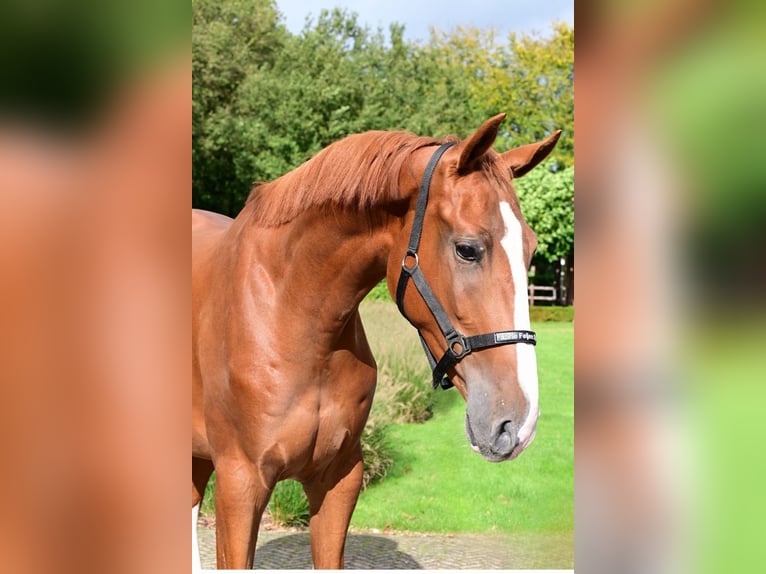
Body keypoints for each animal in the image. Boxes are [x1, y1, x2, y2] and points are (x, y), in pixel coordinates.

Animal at [194, 113, 564, 572]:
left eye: (530, 249)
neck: (289, 310)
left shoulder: (339, 478)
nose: (518, 422)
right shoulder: (240, 484)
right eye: (467, 249)